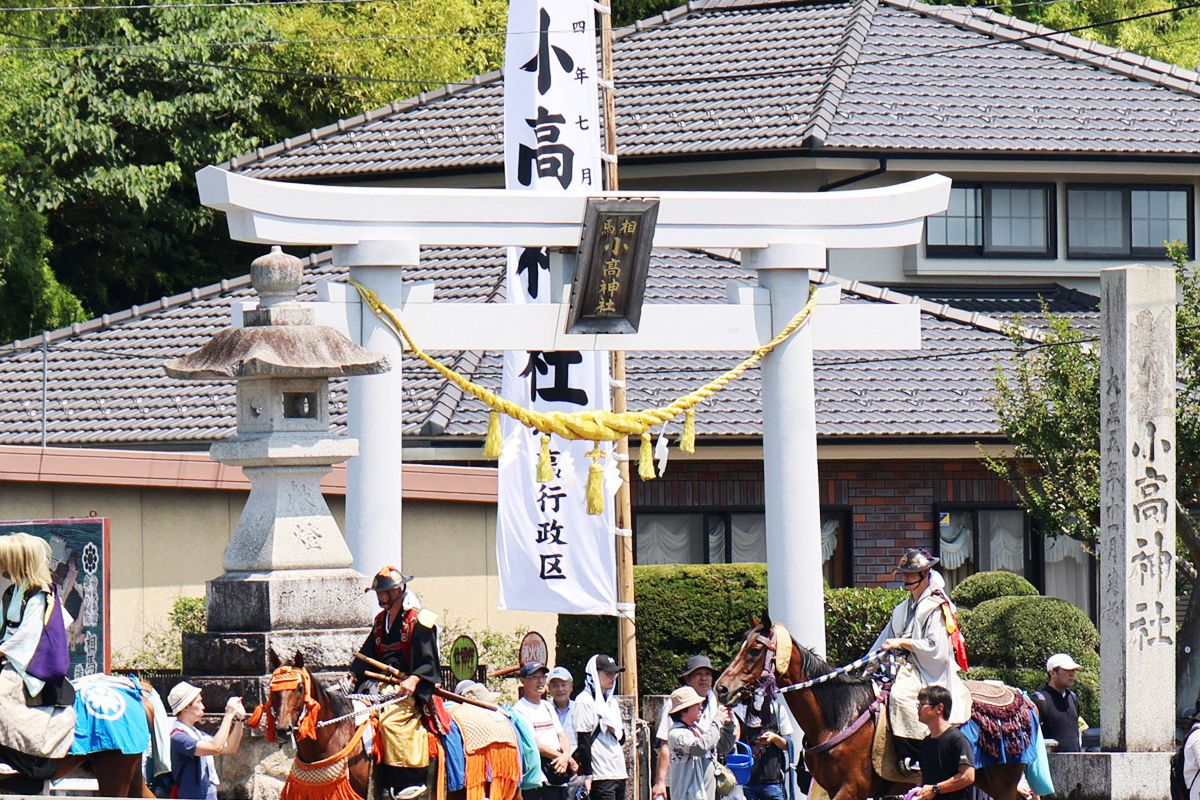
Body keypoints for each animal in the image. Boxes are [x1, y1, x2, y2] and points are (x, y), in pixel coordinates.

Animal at [715, 618, 1027, 800]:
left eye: (754, 651)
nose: (721, 688)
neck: (837, 718)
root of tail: (1022, 697)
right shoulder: (830, 787)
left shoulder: (851, 789)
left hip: (1002, 781)